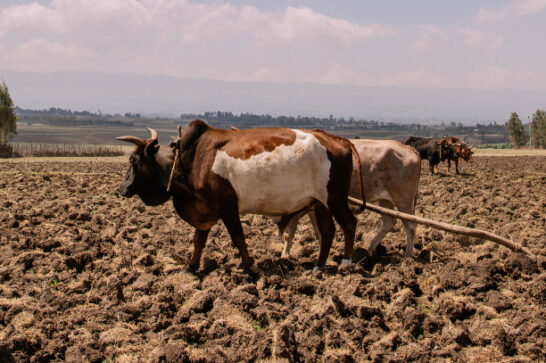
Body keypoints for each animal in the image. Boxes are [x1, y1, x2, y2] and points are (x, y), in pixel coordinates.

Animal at [116, 122, 362, 272]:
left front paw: (249, 265)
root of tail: (338, 140)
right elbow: (198, 241)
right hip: (320, 203)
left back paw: (346, 263)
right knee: (328, 232)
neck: (192, 158)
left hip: (335, 199)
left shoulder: (228, 209)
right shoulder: (205, 209)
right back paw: (318, 266)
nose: (122, 188)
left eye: (133, 160)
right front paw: (191, 267)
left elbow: (239, 238)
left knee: (350, 224)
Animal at [278, 139, 418, 258]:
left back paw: (407, 257)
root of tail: (410, 149)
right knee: (389, 221)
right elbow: (317, 230)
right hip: (385, 200)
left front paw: (285, 255)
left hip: (403, 199)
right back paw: (369, 249)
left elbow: (289, 232)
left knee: (410, 226)